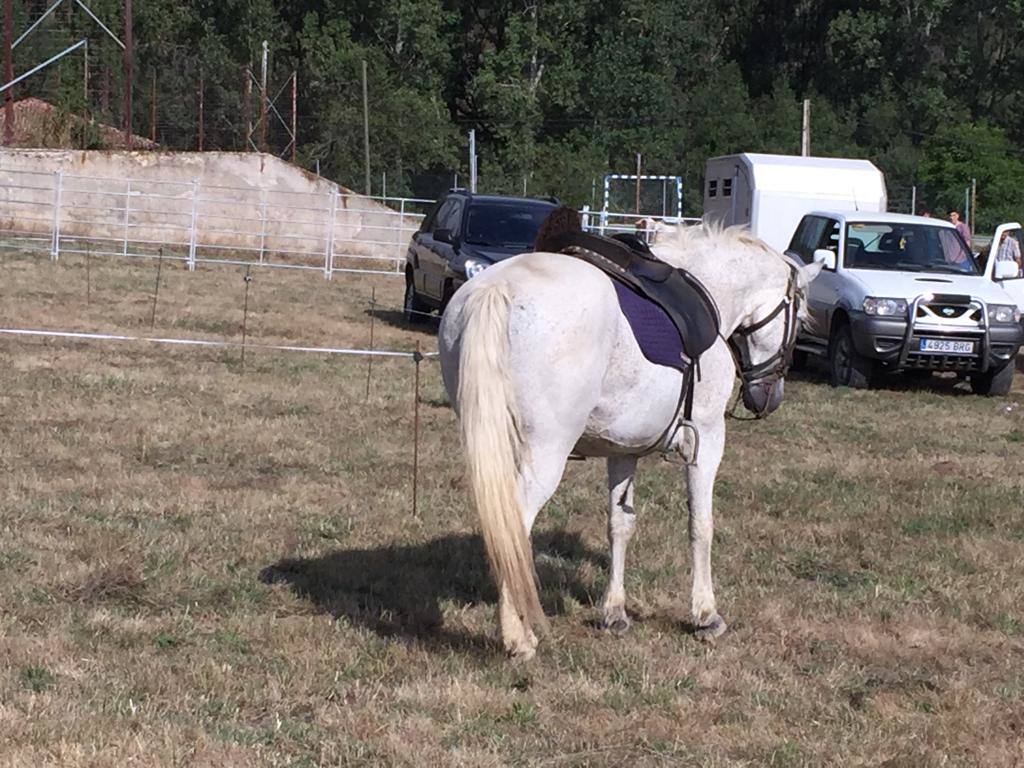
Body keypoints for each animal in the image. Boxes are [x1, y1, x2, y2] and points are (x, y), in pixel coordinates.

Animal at [436, 224, 819, 663]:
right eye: (799, 319)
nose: (768, 397)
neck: (709, 294)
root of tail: (497, 288)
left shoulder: (622, 450)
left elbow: (620, 526)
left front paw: (614, 612)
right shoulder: (706, 442)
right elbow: (700, 525)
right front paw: (705, 614)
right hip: (543, 458)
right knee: (513, 531)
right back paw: (519, 639)